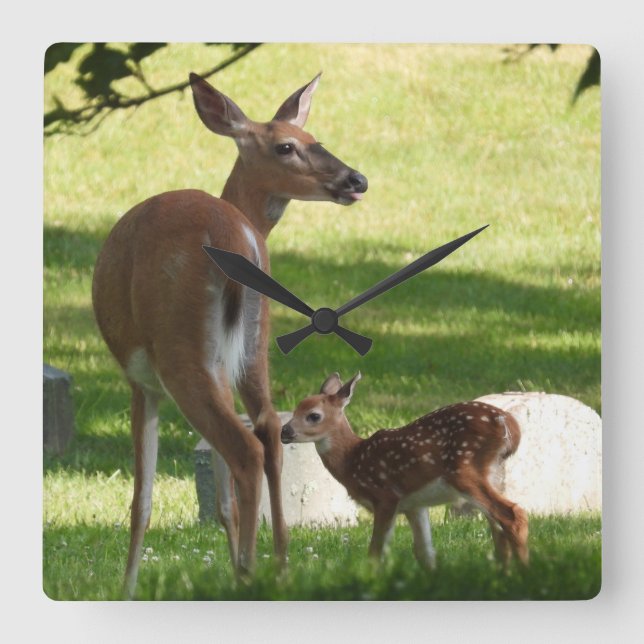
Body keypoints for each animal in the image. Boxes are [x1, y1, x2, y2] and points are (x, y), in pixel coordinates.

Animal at [92, 72, 368, 598]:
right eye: (289, 144)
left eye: (312, 138)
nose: (356, 180)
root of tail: (236, 236)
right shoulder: (226, 361)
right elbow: (221, 497)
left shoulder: (140, 381)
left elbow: (142, 499)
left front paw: (128, 587)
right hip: (255, 344)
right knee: (267, 430)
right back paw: (276, 566)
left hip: (179, 349)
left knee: (244, 447)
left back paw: (252, 574)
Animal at [281, 373, 529, 570]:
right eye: (294, 410)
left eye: (313, 415)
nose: (284, 431)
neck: (353, 460)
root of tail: (509, 424)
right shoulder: (414, 505)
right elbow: (424, 552)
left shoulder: (385, 495)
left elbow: (375, 552)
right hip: (492, 475)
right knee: (498, 526)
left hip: (465, 470)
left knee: (512, 515)